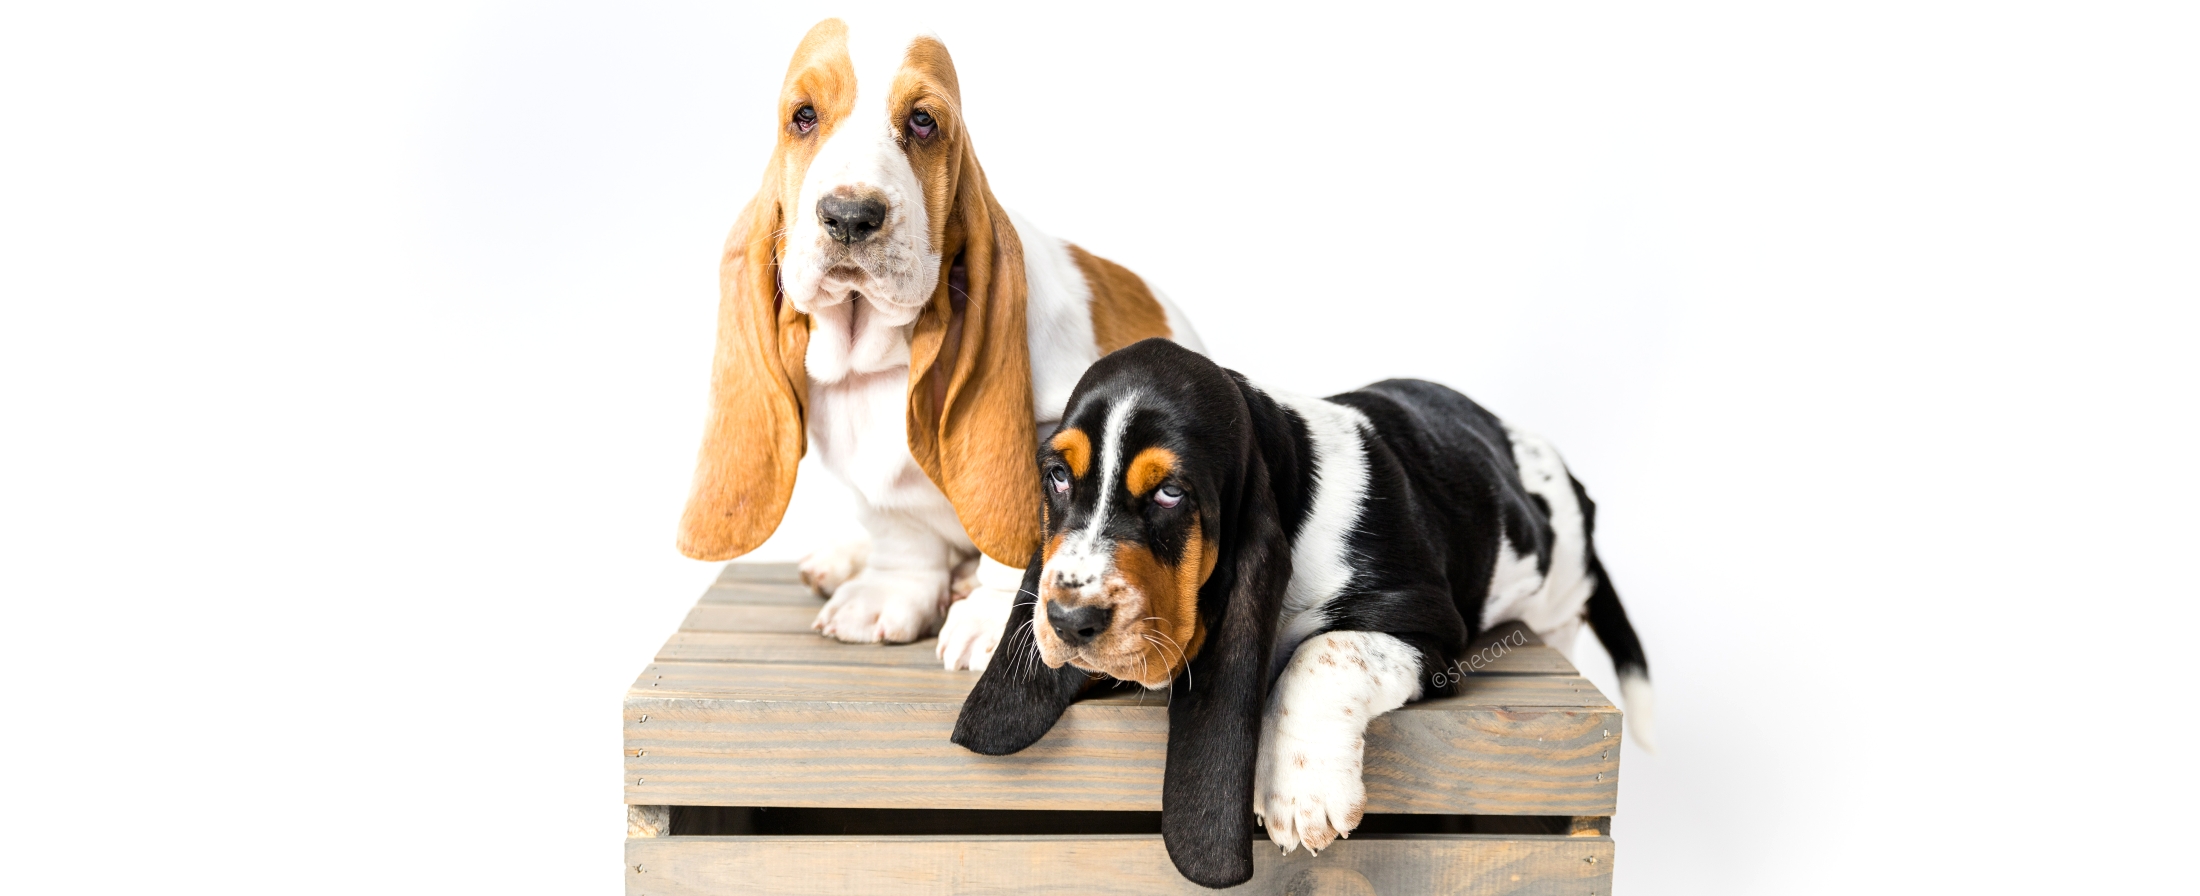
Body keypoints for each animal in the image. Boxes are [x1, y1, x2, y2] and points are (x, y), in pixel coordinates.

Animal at [677, 15, 1205, 664]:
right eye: (803, 115)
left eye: (923, 121)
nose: (850, 216)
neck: (879, 356)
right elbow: (900, 535)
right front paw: (885, 594)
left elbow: (1024, 544)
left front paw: (991, 621)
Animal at [954, 339, 1654, 889]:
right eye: (1057, 477)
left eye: (1171, 492)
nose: (1069, 621)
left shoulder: (1427, 627)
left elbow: (1326, 650)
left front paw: (1302, 792)